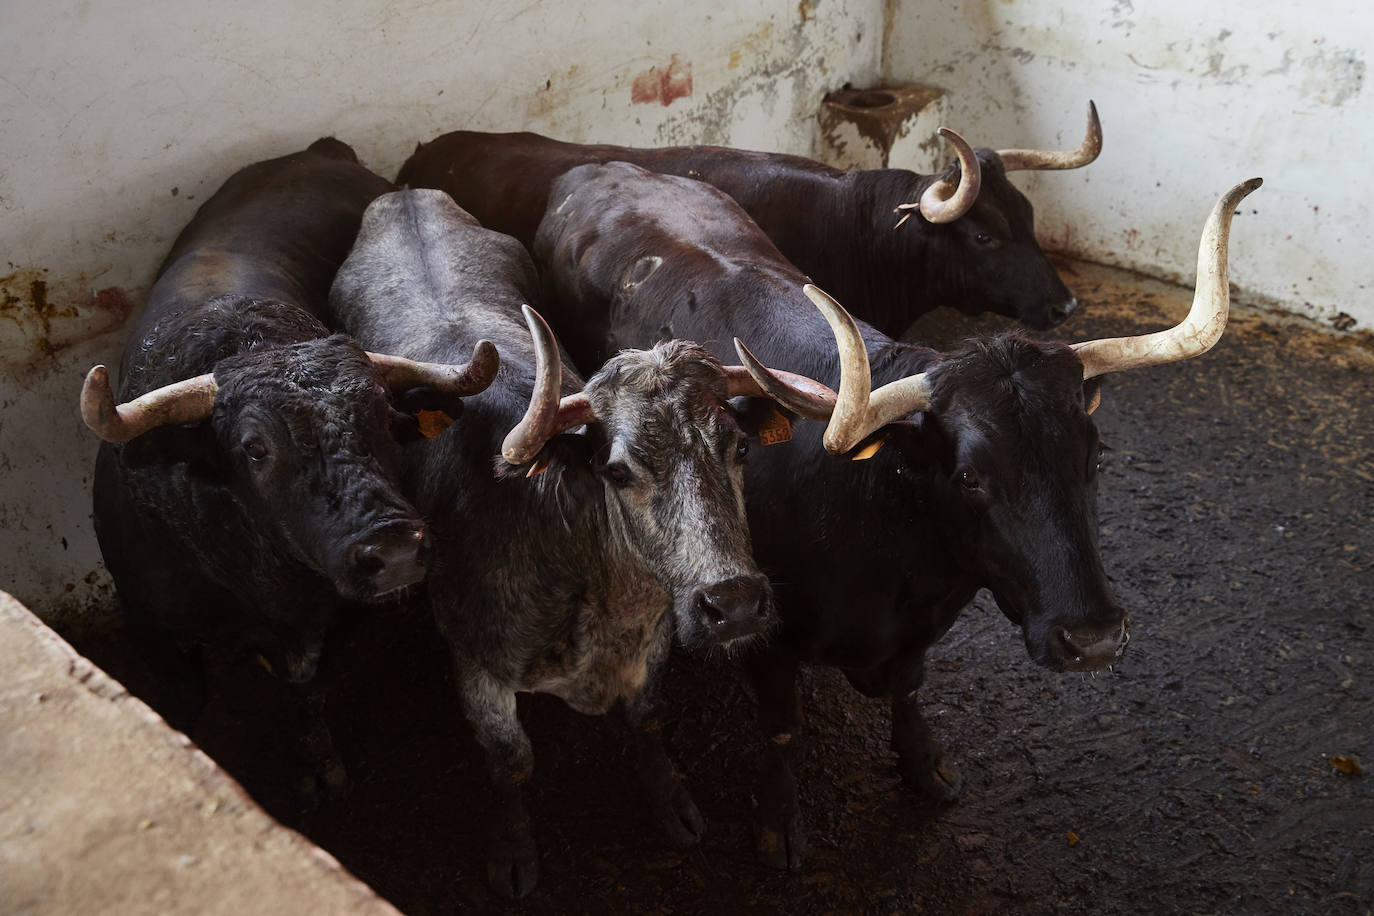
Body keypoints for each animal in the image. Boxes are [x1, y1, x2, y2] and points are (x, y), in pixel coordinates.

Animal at [328, 189, 829, 900]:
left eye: (739, 448)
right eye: (617, 471)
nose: (732, 604)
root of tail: (404, 196)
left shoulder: (654, 646)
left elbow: (647, 719)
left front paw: (670, 802)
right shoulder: (477, 668)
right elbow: (511, 762)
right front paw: (512, 851)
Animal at [530, 161, 1258, 873]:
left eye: (1095, 454)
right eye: (969, 477)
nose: (1095, 640)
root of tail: (593, 169)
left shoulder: (924, 628)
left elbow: (909, 690)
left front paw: (923, 765)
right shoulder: (762, 630)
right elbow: (783, 726)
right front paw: (780, 824)